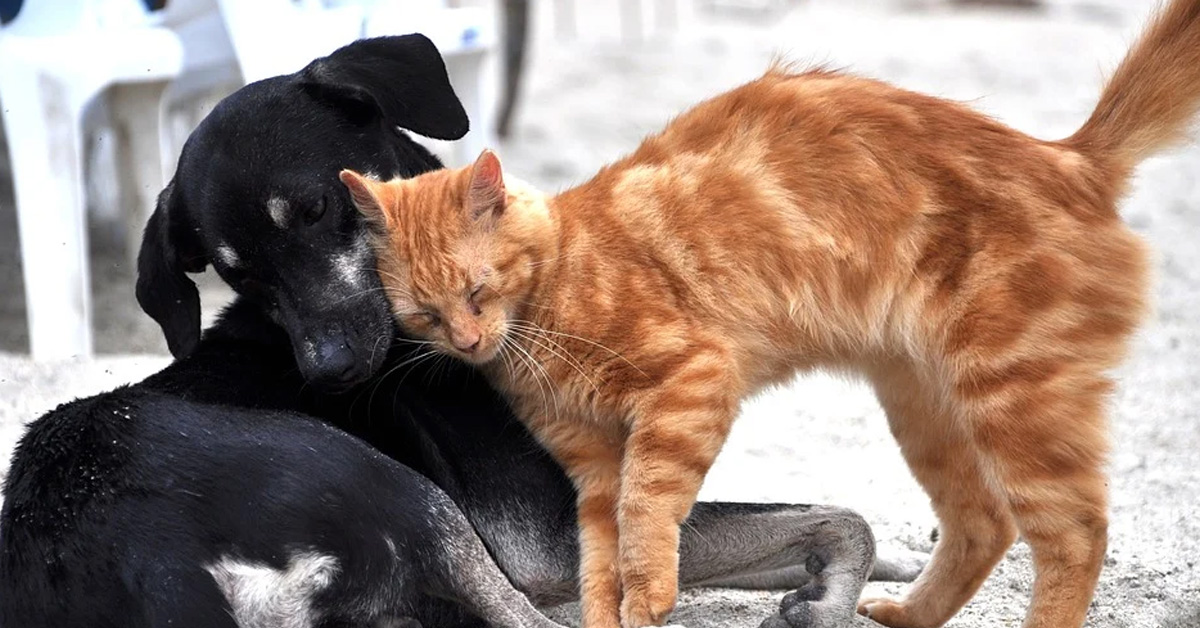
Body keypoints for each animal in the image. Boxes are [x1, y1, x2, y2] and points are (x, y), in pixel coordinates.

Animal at [2, 35, 916, 628]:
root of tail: (126, 550)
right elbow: (841, 517)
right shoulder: (549, 536)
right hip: (402, 489)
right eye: (239, 275)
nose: (331, 373)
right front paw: (832, 598)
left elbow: (821, 516)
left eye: (318, 208)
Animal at [336, 2, 1200, 624]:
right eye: (425, 313)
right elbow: (600, 561)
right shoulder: (590, 467)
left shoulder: (688, 388)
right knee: (986, 522)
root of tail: (1070, 156)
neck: (555, 296)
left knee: (1075, 534)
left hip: (1015, 399)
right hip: (926, 405)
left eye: (477, 291)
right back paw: (909, 613)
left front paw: (651, 594)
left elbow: (647, 520)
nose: (468, 340)